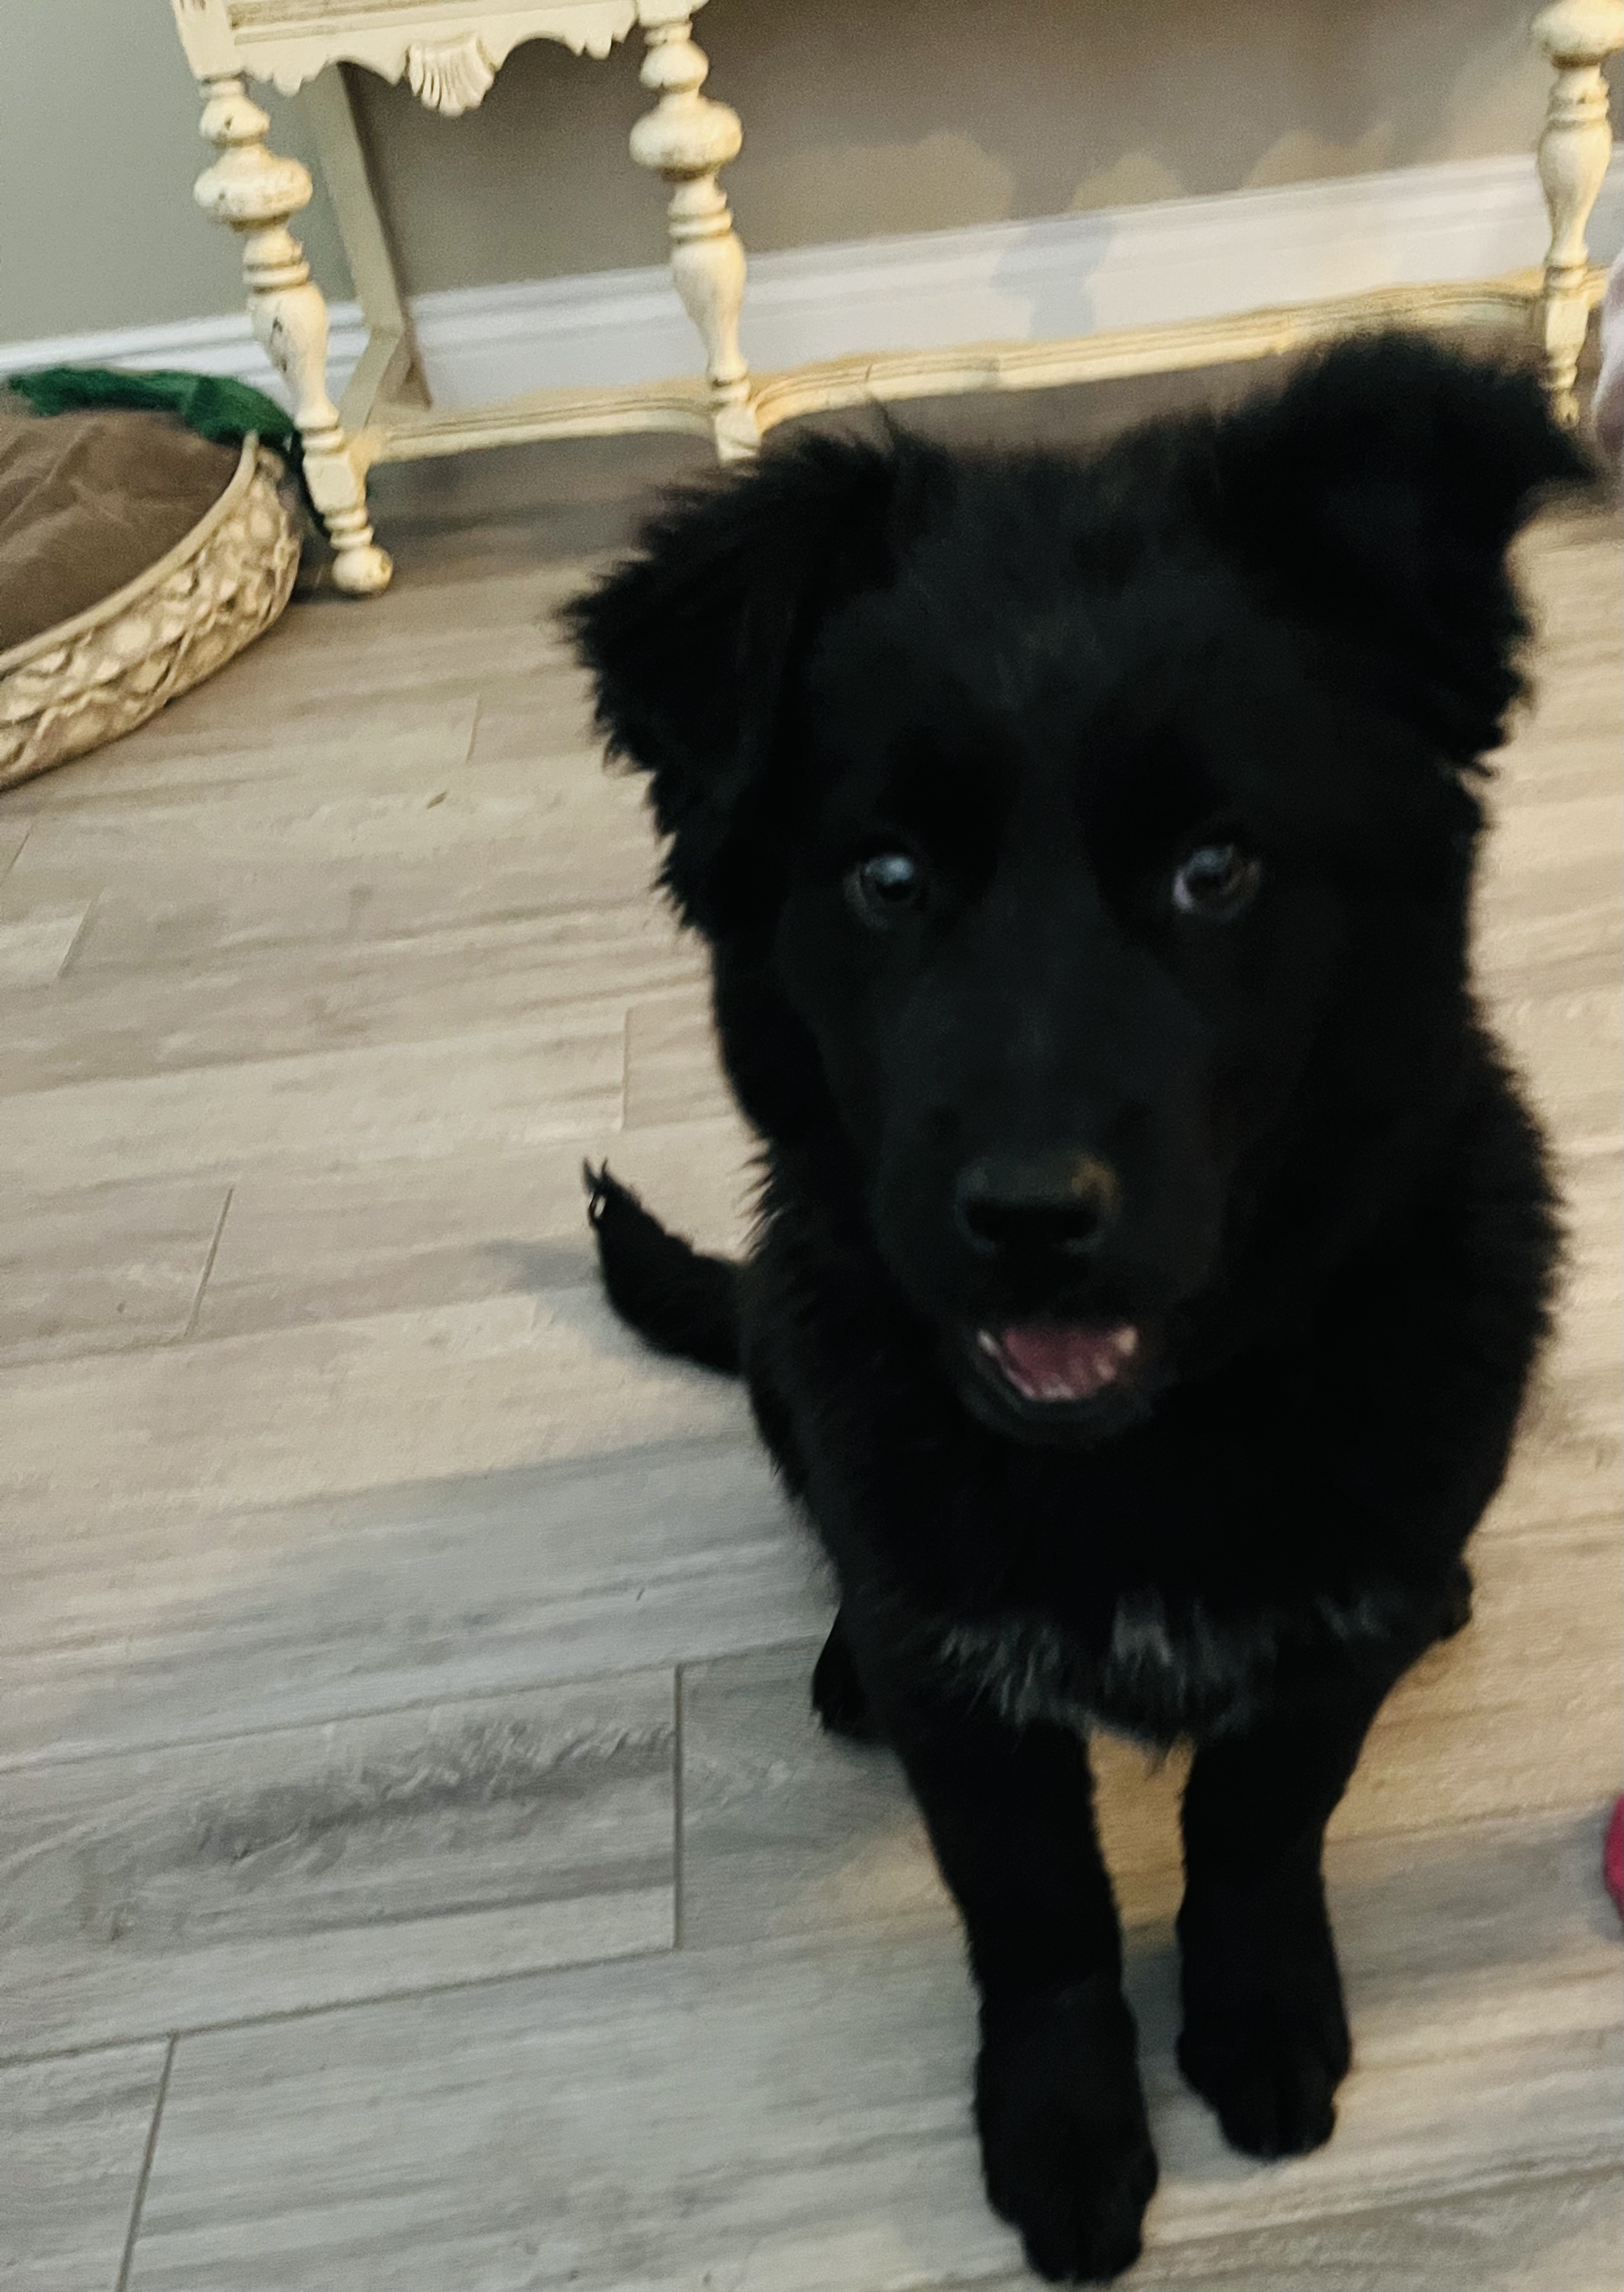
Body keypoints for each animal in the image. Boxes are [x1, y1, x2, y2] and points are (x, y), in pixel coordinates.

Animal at [568, 332, 1584, 2283]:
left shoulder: (1324, 1641)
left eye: (1218, 867)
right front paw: (1064, 2122)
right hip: (795, 1378)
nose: (1032, 1219)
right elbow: (1037, 1909)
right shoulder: (974, 1706)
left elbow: (1257, 1821)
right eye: (886, 876)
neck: (1152, 1440)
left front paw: (1257, 2007)